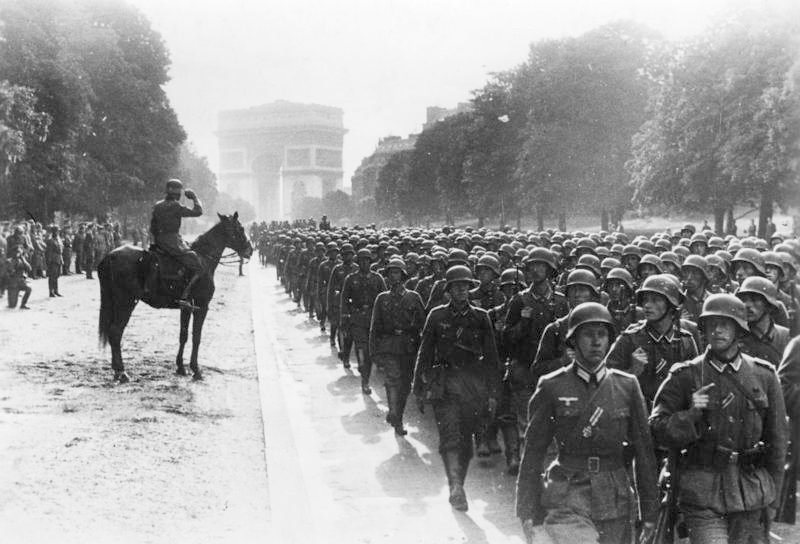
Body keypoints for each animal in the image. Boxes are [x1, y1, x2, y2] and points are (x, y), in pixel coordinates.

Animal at [98, 212, 252, 382]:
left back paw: (116, 370)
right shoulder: (202, 306)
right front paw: (196, 369)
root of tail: (110, 256)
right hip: (126, 302)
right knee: (116, 332)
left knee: (112, 333)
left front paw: (180, 367)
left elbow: (183, 335)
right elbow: (196, 337)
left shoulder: (186, 307)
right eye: (240, 229)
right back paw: (122, 372)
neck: (204, 258)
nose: (250, 250)